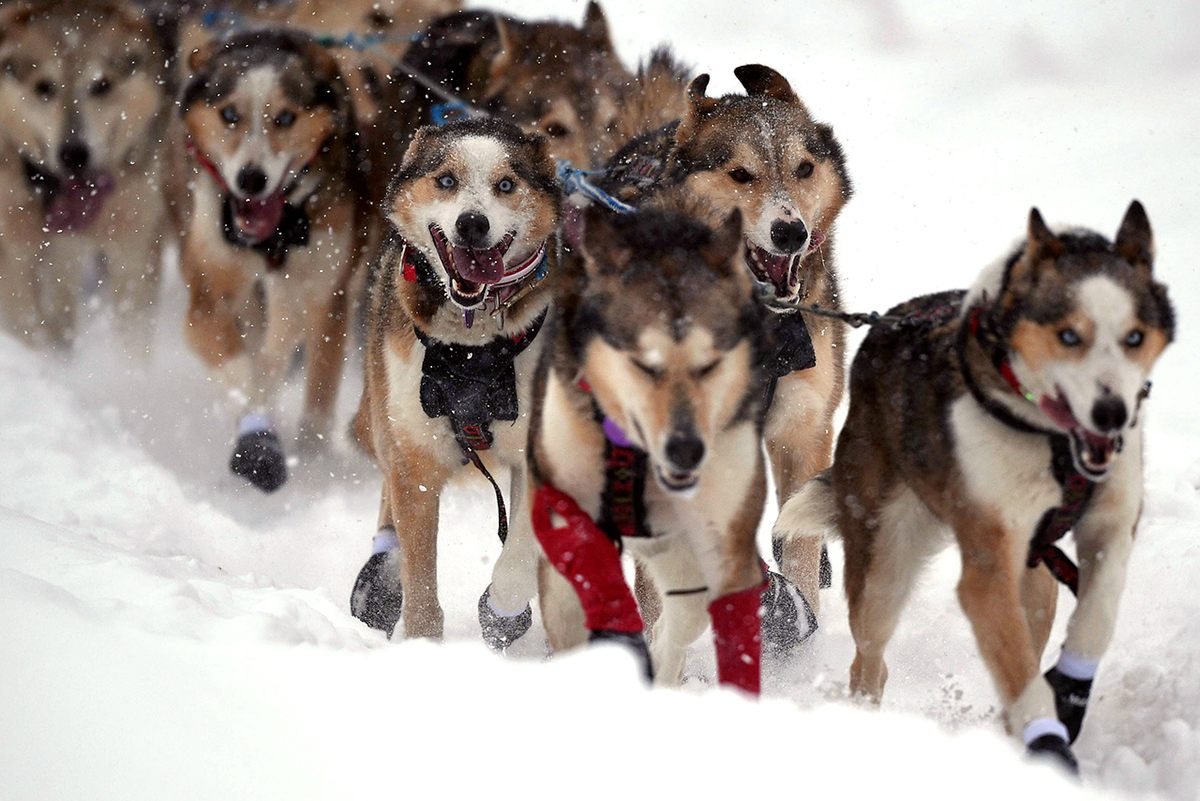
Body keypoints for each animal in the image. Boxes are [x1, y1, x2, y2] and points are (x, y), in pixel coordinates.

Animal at [178, 31, 364, 491]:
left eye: (284, 118)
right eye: (230, 114)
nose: (251, 179)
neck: (272, 238)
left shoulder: (324, 294)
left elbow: (312, 386)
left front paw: (310, 458)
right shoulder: (207, 293)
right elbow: (240, 366)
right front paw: (257, 426)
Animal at [350, 117, 564, 642]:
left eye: (505, 185)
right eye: (446, 180)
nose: (472, 223)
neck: (470, 350)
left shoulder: (538, 454)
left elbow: (518, 558)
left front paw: (501, 610)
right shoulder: (415, 459)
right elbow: (420, 578)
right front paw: (423, 644)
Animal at [772, 200, 1176, 767]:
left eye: (1134, 337)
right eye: (1068, 335)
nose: (1111, 413)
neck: (1050, 441)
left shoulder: (1111, 527)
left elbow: (1096, 618)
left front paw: (1067, 696)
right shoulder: (988, 560)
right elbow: (1014, 663)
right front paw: (1047, 741)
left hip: (1034, 577)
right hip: (884, 563)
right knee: (869, 659)